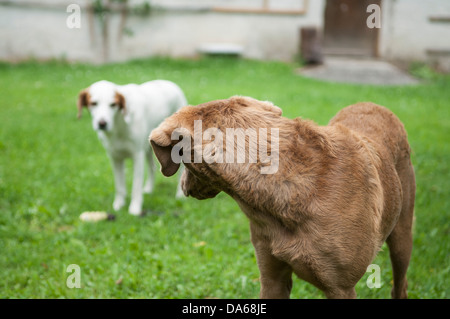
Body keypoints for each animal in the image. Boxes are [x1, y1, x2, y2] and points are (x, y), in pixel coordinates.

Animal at [77, 80, 186, 216]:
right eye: (94, 103)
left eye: (113, 105)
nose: (102, 123)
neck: (119, 126)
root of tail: (170, 83)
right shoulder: (115, 158)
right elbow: (119, 185)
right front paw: (119, 204)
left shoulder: (137, 156)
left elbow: (136, 186)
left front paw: (135, 208)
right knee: (152, 167)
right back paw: (149, 189)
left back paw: (180, 194)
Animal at [150, 97, 414, 300]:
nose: (183, 185)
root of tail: (373, 104)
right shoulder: (272, 276)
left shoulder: (341, 287)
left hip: (402, 236)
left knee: (400, 284)